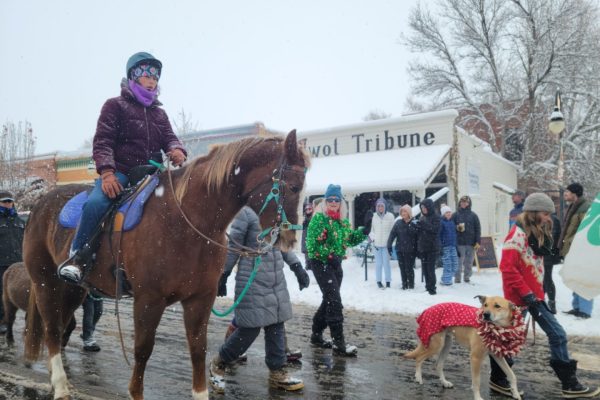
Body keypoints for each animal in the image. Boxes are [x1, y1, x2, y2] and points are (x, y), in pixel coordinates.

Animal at [22, 130, 310, 398]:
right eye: (294, 187)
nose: (289, 240)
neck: (187, 220)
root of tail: (39, 205)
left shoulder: (199, 299)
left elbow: (198, 348)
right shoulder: (149, 299)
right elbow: (143, 350)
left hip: (74, 289)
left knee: (60, 328)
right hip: (46, 282)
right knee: (51, 329)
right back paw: (60, 386)